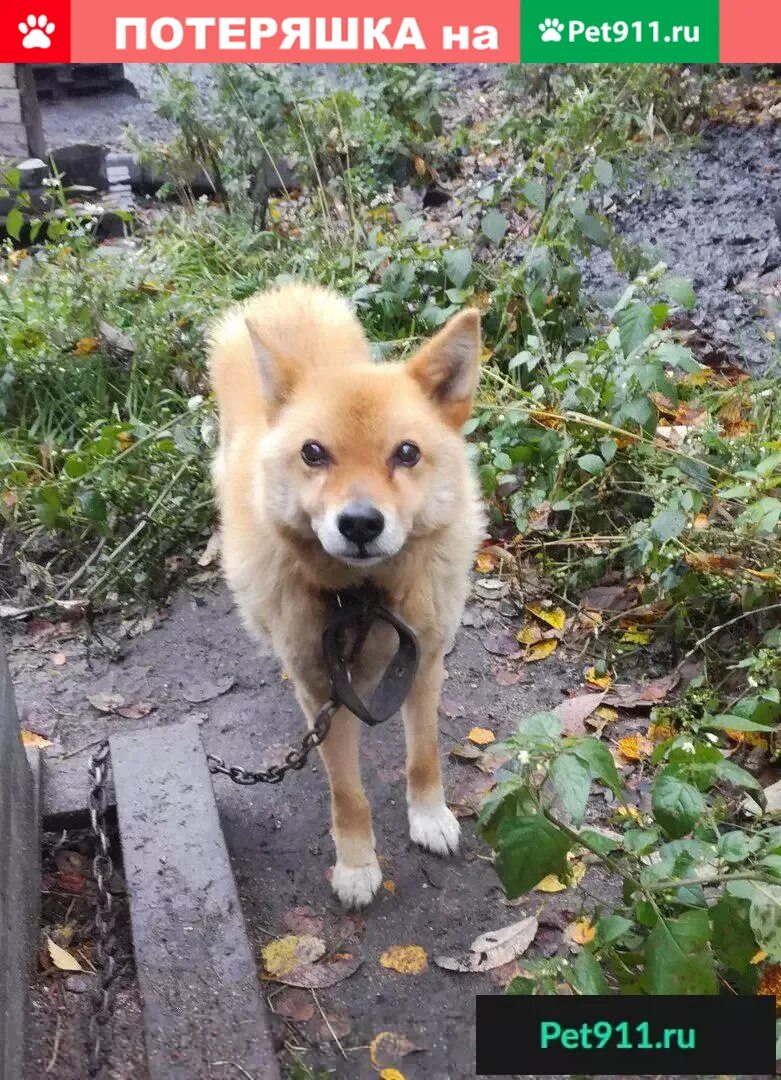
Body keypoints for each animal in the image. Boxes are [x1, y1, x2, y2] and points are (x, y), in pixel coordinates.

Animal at [210, 282, 486, 907]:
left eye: (406, 453)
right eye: (314, 453)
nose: (360, 523)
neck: (366, 598)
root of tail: (283, 296)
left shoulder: (424, 663)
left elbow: (424, 756)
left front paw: (429, 816)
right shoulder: (323, 693)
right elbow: (348, 795)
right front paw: (357, 864)